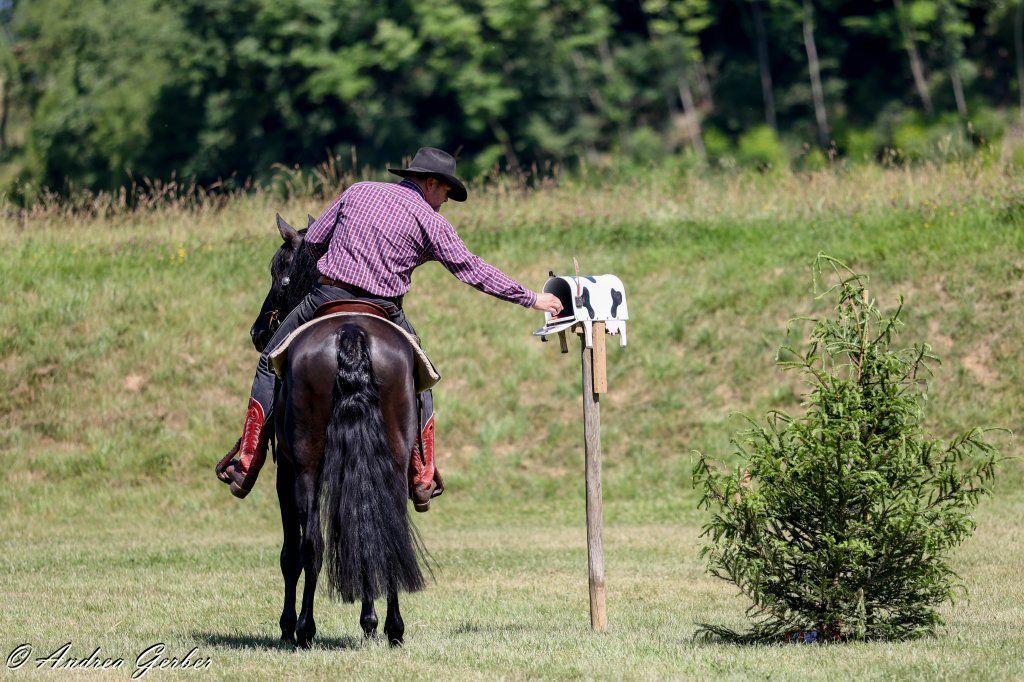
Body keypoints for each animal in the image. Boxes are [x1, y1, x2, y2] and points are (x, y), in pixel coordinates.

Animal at [249, 214, 426, 648]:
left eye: (280, 273)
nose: (259, 331)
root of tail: (351, 331)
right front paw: (369, 620)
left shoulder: (285, 472)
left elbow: (292, 553)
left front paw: (287, 625)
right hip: (393, 459)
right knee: (386, 530)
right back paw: (393, 629)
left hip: (306, 466)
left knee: (311, 543)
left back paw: (304, 629)